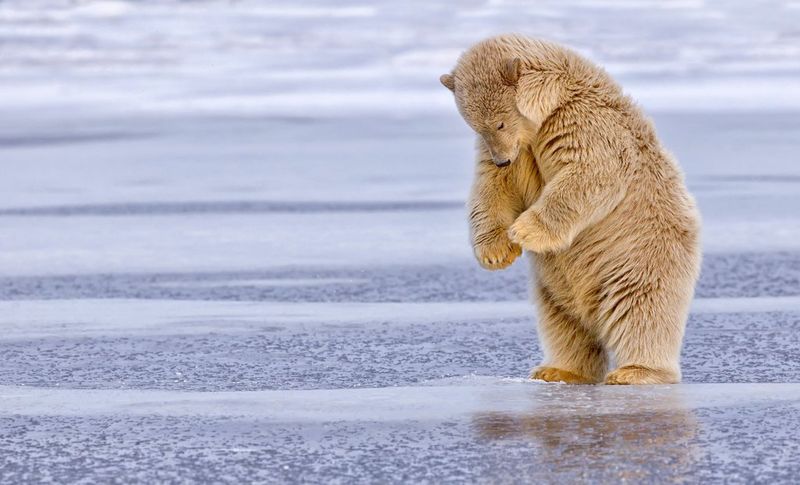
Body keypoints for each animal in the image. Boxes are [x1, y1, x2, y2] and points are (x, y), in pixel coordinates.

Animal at [440, 34, 701, 385]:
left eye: (500, 122)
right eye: (477, 127)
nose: (502, 158)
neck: (554, 98)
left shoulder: (583, 123)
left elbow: (590, 174)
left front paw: (523, 230)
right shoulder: (520, 150)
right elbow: (494, 187)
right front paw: (496, 252)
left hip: (638, 256)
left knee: (642, 309)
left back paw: (634, 371)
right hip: (551, 285)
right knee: (562, 320)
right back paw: (557, 369)